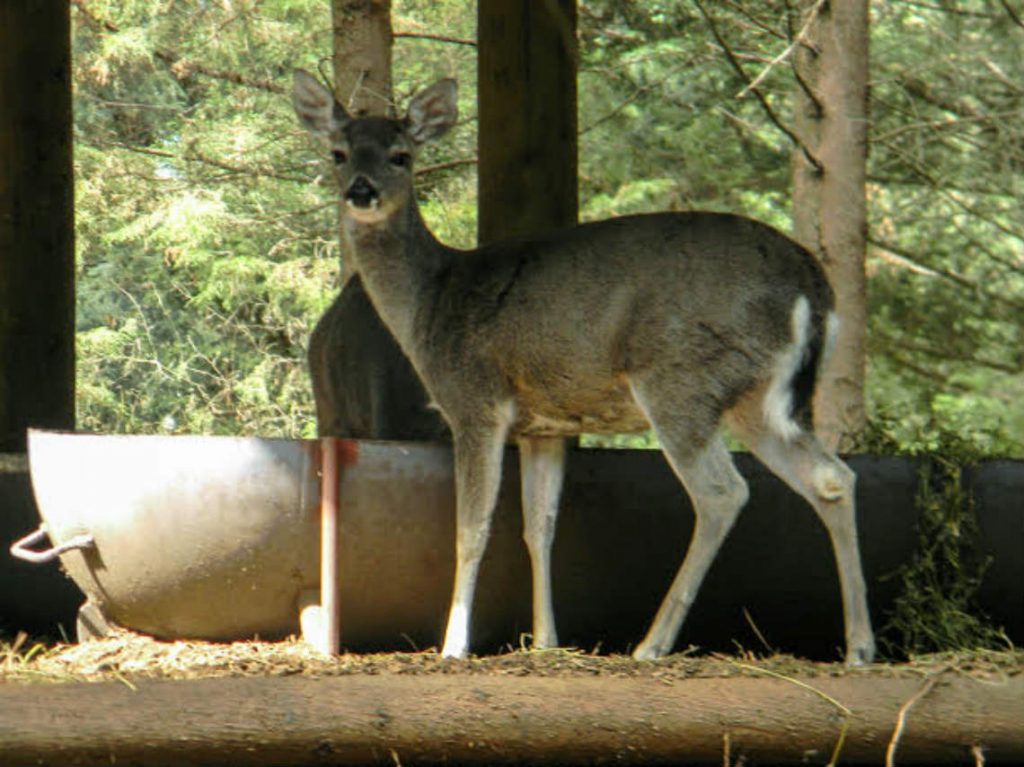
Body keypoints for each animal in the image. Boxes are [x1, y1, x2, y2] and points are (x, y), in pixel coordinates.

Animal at [292, 68, 876, 659]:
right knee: (832, 477)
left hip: (681, 380)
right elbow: (540, 526)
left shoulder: (475, 401)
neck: (432, 300)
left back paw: (652, 644)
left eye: (402, 155)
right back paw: (859, 647)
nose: (360, 191)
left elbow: (472, 528)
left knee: (723, 492)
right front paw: (546, 640)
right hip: (757, 400)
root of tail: (813, 286)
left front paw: (453, 644)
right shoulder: (543, 426)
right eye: (339, 152)